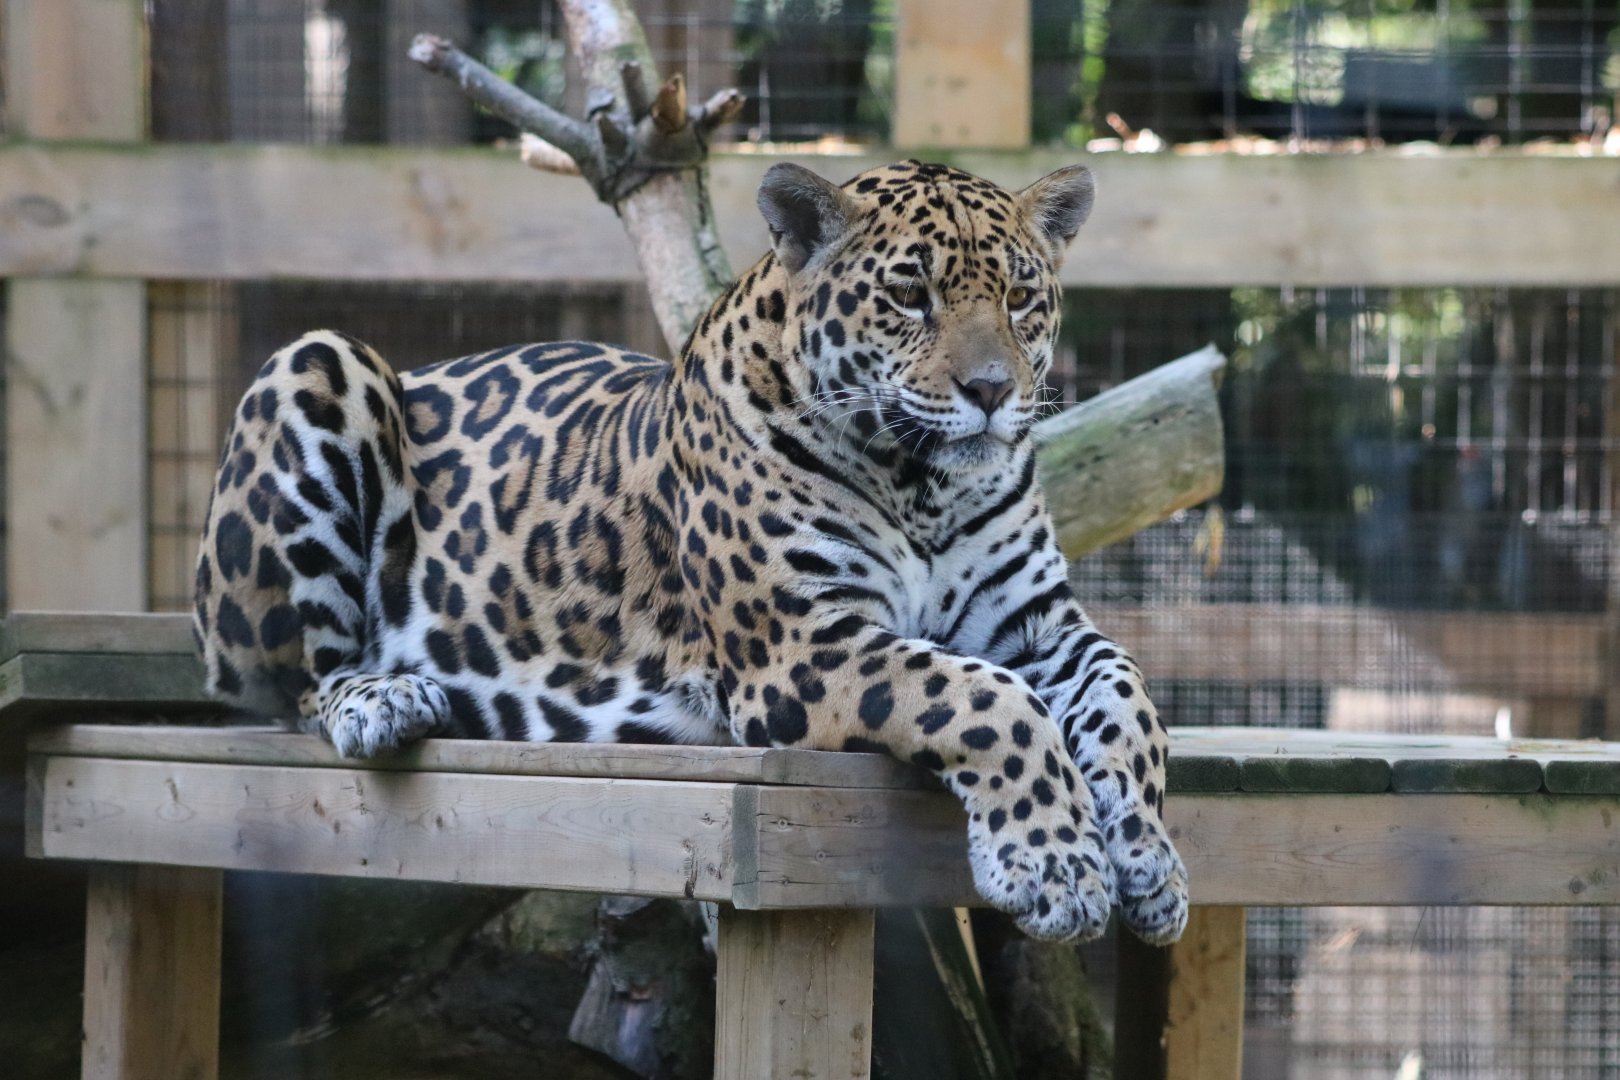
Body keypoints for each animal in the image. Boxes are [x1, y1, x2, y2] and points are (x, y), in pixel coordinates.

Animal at [194, 159, 1188, 944]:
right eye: (912, 297)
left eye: (1021, 300)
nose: (991, 391)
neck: (925, 489)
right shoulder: (802, 644)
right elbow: (989, 702)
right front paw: (1058, 868)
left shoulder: (1038, 625)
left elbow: (1129, 696)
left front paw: (1151, 864)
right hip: (317, 363)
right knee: (293, 685)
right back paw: (386, 697)